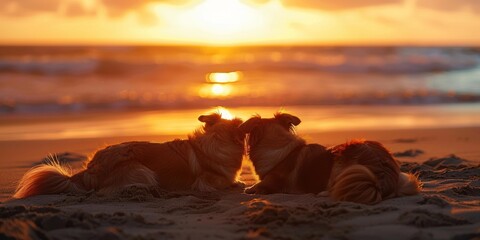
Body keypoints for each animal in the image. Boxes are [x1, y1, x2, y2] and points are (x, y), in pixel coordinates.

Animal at [13, 112, 246, 199]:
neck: (216, 140)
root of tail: (90, 170)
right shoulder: (206, 182)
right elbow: (226, 182)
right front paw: (238, 183)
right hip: (140, 169)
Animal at [240, 112, 420, 204]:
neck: (278, 145)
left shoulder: (270, 183)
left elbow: (255, 187)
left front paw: (249, 188)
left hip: (344, 157)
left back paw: (325, 193)